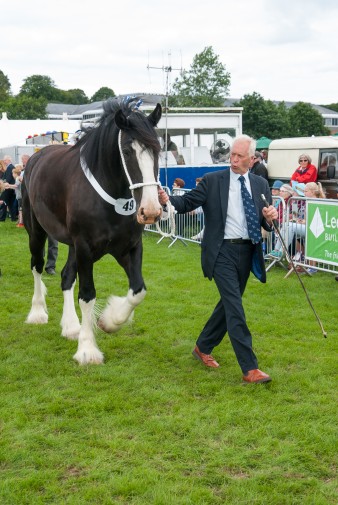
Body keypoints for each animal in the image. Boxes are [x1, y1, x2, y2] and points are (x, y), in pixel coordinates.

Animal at [22, 96, 162, 362]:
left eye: (158, 150)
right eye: (127, 151)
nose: (150, 211)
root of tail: (36, 156)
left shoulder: (129, 248)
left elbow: (138, 291)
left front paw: (110, 321)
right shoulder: (85, 248)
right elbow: (87, 295)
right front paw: (87, 349)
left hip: (72, 245)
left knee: (66, 276)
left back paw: (70, 326)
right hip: (36, 231)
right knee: (36, 266)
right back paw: (37, 313)